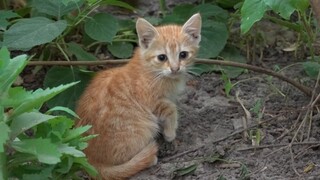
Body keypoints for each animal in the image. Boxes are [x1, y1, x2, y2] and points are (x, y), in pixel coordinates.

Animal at [76, 13, 201, 179]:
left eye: (183, 54)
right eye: (162, 57)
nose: (175, 68)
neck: (152, 71)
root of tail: (90, 160)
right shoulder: (150, 100)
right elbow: (171, 108)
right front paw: (170, 133)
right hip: (143, 128)